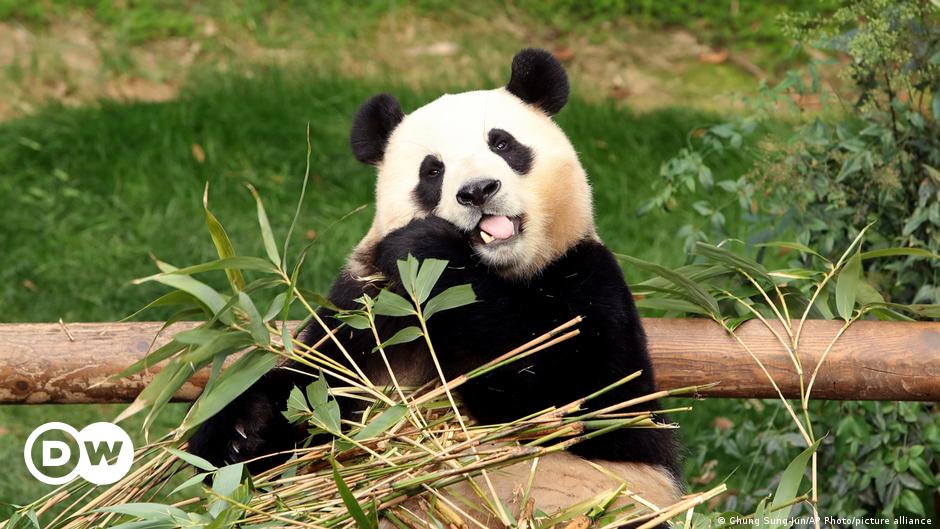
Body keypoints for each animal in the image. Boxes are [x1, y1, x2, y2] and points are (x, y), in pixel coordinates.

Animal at [189, 49, 682, 526]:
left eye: (502, 143)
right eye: (432, 171)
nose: (478, 191)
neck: (500, 271)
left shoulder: (588, 277)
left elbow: (582, 400)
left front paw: (428, 248)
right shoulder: (364, 309)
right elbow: (313, 386)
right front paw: (238, 436)